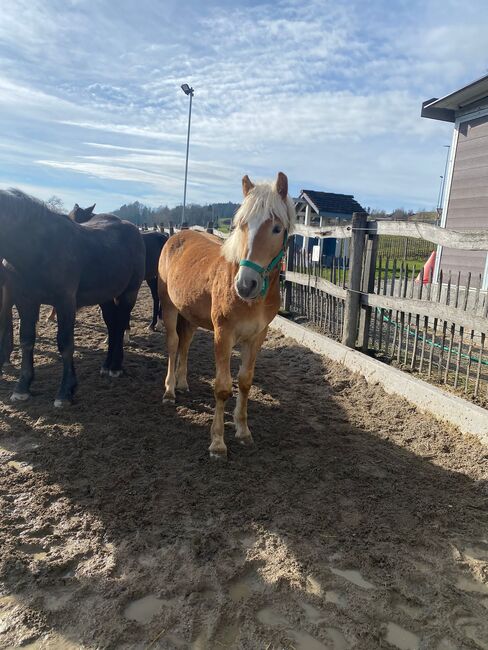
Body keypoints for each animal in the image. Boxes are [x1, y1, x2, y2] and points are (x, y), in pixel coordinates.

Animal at [0, 187, 145, 408]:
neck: (37, 248)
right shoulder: (26, 301)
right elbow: (26, 340)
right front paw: (22, 387)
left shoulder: (65, 302)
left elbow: (65, 344)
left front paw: (65, 392)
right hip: (105, 297)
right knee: (113, 326)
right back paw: (107, 364)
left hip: (128, 293)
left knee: (120, 325)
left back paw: (115, 367)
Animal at [158, 170, 296, 458]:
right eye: (242, 225)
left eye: (277, 228)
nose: (245, 285)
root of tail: (175, 237)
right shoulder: (223, 335)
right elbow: (222, 387)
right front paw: (218, 442)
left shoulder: (256, 337)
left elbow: (244, 382)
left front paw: (243, 431)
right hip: (169, 307)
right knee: (174, 344)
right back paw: (169, 390)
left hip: (190, 314)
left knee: (185, 343)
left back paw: (182, 383)